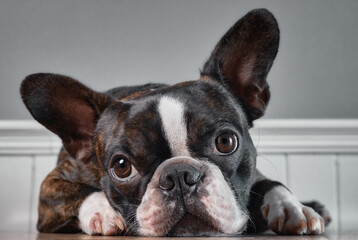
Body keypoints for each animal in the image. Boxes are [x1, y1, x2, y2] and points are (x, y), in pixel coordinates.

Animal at [20, 8, 330, 236]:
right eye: (121, 166)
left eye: (226, 141)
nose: (179, 175)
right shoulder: (52, 186)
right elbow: (78, 191)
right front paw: (103, 211)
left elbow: (269, 183)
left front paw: (292, 208)